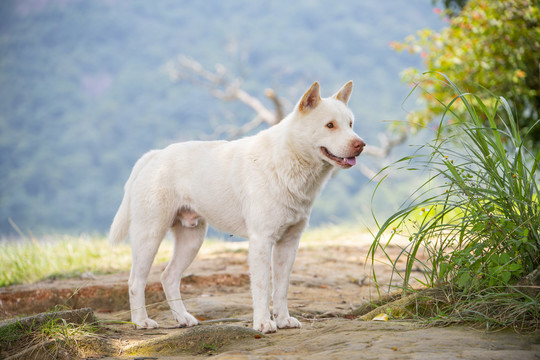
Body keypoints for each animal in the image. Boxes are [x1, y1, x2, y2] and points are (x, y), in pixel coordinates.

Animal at [108, 81, 364, 332]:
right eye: (330, 125)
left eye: (350, 124)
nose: (360, 144)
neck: (289, 160)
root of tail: (154, 155)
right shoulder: (262, 241)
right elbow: (262, 287)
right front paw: (263, 323)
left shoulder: (289, 243)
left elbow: (281, 288)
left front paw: (282, 320)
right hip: (150, 235)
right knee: (135, 281)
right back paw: (141, 321)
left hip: (192, 239)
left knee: (168, 277)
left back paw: (183, 318)